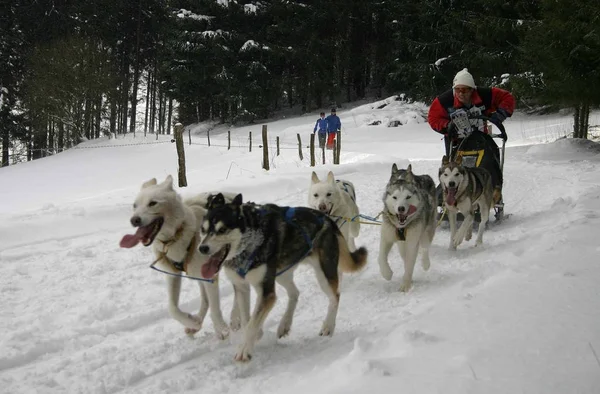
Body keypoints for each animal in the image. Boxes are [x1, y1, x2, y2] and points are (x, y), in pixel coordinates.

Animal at [198, 192, 366, 362]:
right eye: (203, 230)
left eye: (222, 229)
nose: (202, 248)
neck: (250, 240)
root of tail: (328, 219)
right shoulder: (241, 286)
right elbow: (247, 320)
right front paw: (255, 335)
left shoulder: (266, 292)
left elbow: (252, 323)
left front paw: (245, 350)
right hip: (281, 274)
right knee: (295, 293)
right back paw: (285, 324)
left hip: (323, 273)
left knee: (335, 296)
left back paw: (328, 326)